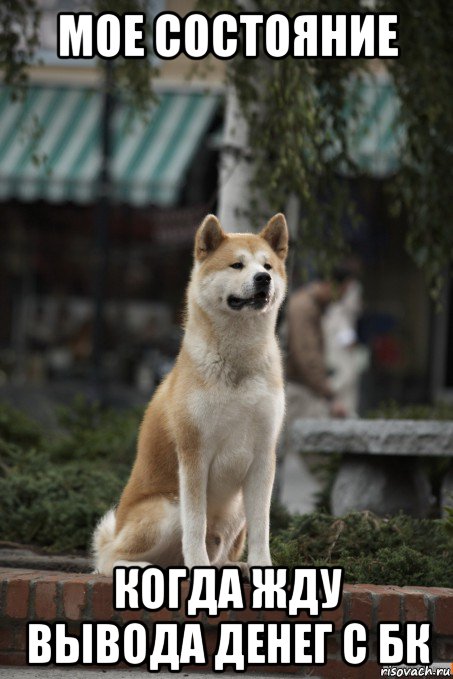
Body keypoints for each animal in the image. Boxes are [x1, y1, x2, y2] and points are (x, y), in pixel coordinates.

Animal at [93, 212, 288, 572]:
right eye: (237, 265)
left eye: (267, 266)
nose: (263, 279)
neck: (238, 363)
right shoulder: (194, 454)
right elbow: (195, 525)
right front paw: (199, 566)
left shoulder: (264, 456)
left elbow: (262, 527)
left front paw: (262, 568)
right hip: (167, 508)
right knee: (110, 559)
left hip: (234, 512)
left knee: (217, 553)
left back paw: (232, 567)